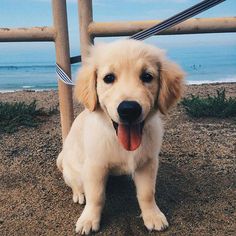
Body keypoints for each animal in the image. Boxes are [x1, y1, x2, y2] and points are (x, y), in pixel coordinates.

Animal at [56, 39, 184, 234]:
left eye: (147, 76)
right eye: (109, 78)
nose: (129, 109)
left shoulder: (148, 162)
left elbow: (147, 193)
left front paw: (152, 215)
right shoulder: (95, 166)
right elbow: (96, 196)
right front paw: (89, 219)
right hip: (73, 171)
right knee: (75, 183)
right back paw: (79, 194)